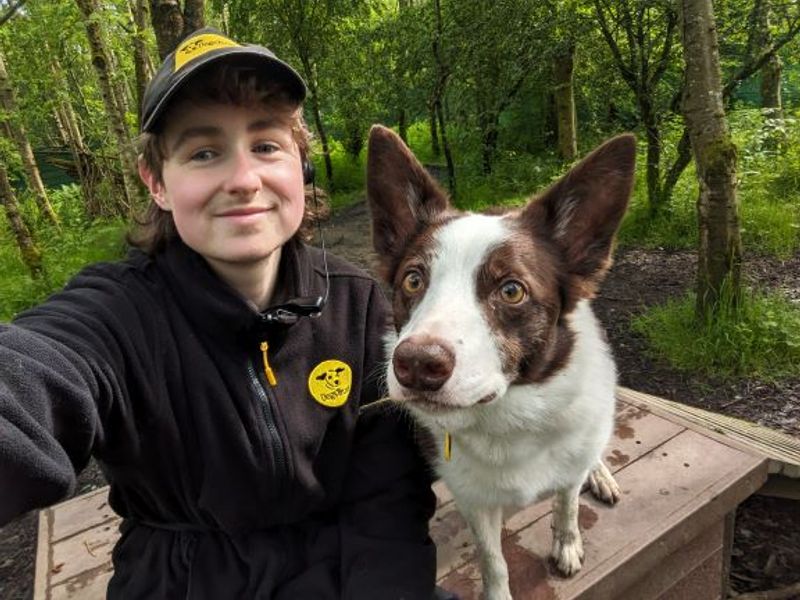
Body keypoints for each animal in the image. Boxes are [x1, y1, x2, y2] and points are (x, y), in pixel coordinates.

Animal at [368, 124, 636, 596]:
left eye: (512, 290)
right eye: (413, 280)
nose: (416, 365)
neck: (508, 418)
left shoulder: (567, 474)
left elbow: (566, 507)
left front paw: (568, 544)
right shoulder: (474, 500)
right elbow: (492, 559)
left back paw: (600, 472)